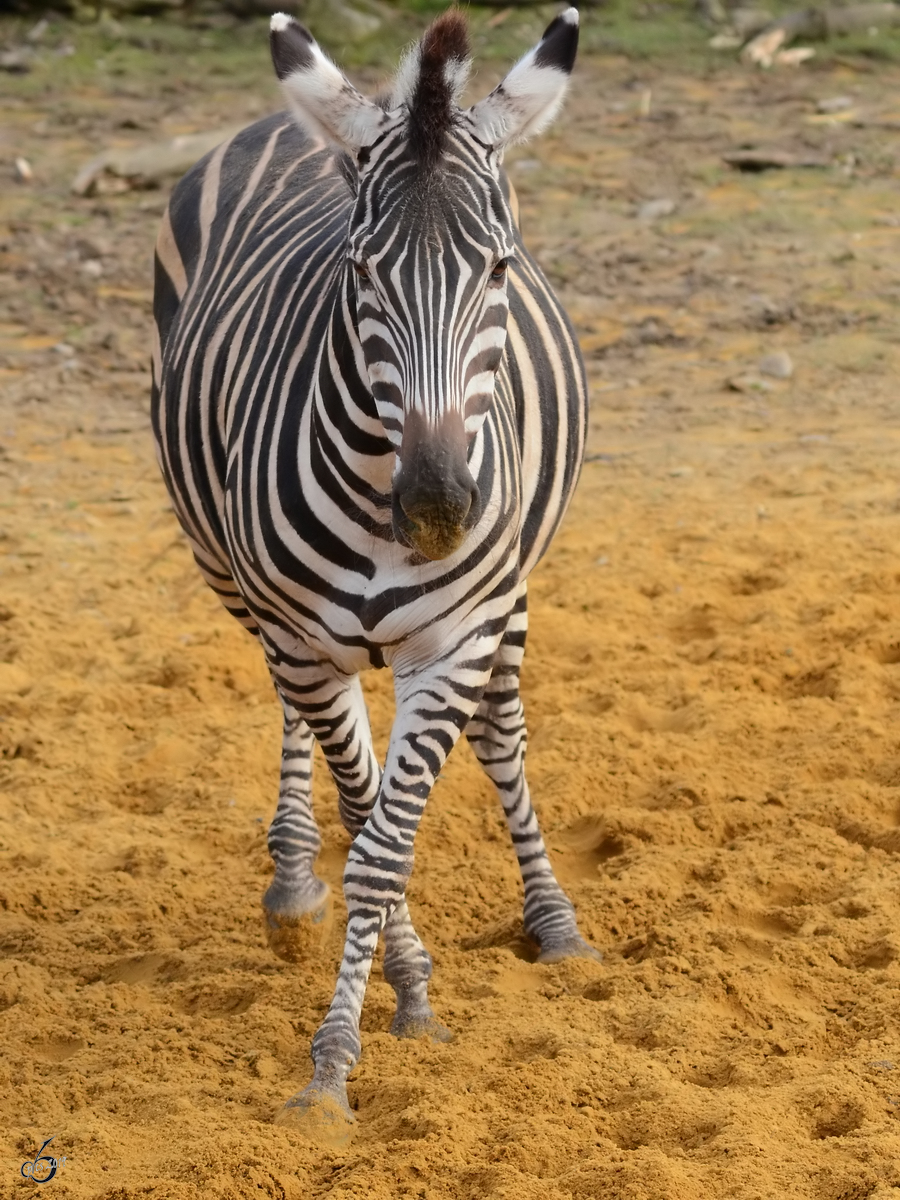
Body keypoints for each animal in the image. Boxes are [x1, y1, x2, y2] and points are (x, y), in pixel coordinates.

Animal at [152, 7, 602, 1132]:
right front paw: (367, 1026)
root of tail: (291, 123)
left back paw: (555, 923)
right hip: (234, 578)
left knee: (504, 734)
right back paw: (289, 884)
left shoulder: (455, 643)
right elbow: (365, 833)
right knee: (294, 711)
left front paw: (363, 1036)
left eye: (498, 271)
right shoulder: (302, 638)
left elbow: (388, 848)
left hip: (506, 598)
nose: (440, 505)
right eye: (358, 273)